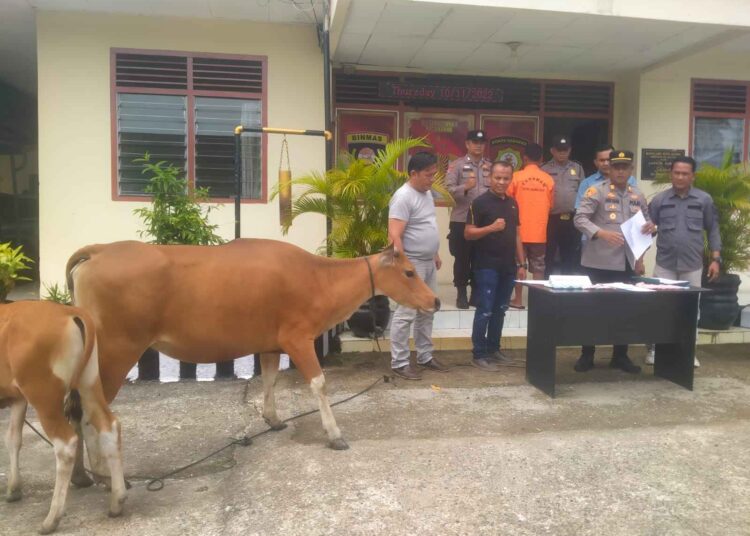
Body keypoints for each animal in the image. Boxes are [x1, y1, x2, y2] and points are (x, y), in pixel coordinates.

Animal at [0, 302, 126, 532]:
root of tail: (68, 311)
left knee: (65, 444)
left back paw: (52, 519)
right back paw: (117, 501)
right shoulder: (18, 398)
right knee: (109, 426)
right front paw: (14, 488)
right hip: (89, 383)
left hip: (43, 396)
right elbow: (13, 438)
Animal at [66, 240, 440, 482]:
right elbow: (319, 384)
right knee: (89, 410)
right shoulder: (298, 339)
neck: (317, 277)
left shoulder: (271, 345)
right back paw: (103, 473)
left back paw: (82, 476)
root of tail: (99, 250)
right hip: (115, 353)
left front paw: (273, 419)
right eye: (409, 272)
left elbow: (270, 379)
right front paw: (334, 434)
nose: (435, 301)